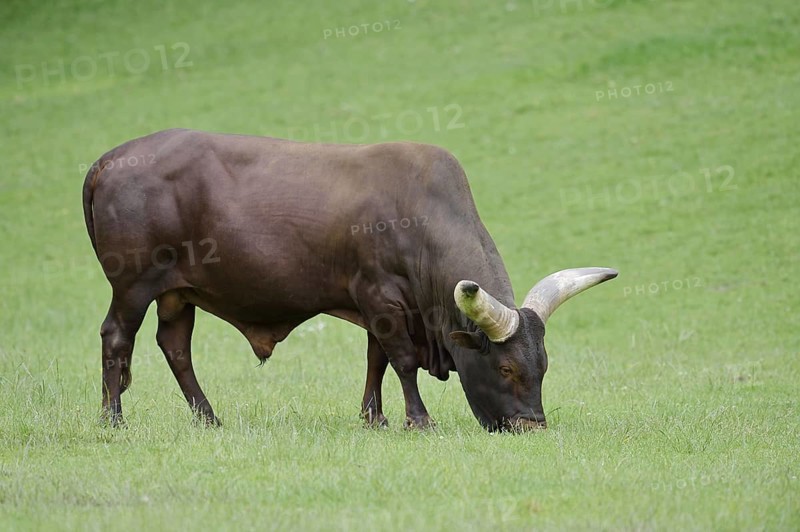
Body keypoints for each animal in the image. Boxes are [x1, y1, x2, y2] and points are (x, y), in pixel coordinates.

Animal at [82, 128, 617, 431]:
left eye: (543, 365)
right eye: (506, 368)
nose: (533, 427)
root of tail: (109, 158)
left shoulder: (379, 307)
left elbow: (376, 360)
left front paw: (374, 417)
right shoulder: (382, 299)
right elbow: (401, 360)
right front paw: (418, 420)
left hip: (176, 292)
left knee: (175, 347)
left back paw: (208, 418)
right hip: (132, 285)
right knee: (117, 337)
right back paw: (113, 419)